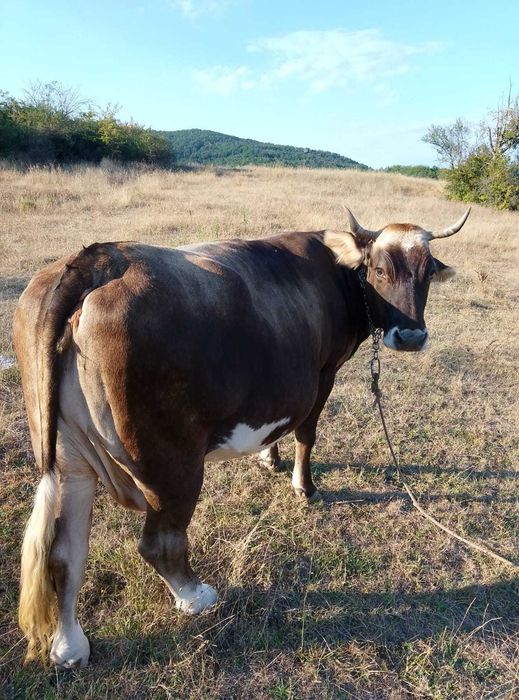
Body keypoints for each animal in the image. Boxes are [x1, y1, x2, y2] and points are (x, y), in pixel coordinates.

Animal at [13, 207, 470, 668]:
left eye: (428, 272)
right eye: (379, 270)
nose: (411, 336)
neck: (338, 274)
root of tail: (99, 260)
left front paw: (269, 457)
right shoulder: (323, 373)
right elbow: (307, 432)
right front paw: (304, 486)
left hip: (66, 458)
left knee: (64, 554)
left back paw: (69, 645)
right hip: (171, 462)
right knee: (159, 542)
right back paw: (195, 596)